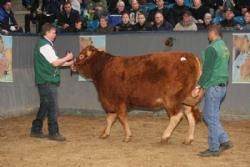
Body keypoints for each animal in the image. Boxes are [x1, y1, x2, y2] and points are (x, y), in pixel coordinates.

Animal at [71, 45, 204, 144]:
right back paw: (188, 139)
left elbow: (121, 117)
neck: (103, 68)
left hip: (171, 98)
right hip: (186, 98)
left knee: (177, 116)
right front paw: (105, 134)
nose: (72, 65)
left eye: (81, 55)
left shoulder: (117, 100)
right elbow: (110, 118)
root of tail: (189, 56)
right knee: (190, 116)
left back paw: (165, 137)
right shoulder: (112, 101)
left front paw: (127, 136)